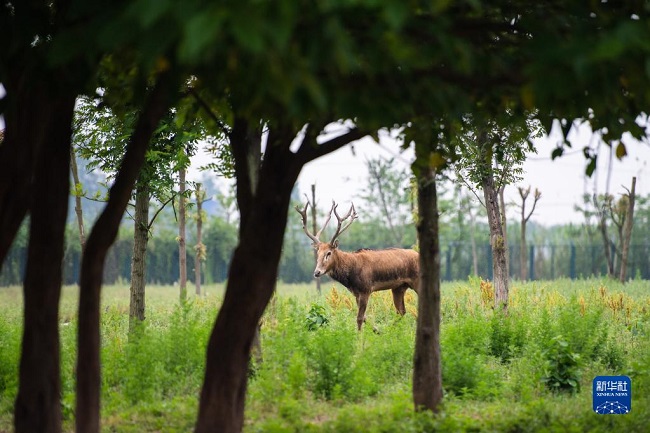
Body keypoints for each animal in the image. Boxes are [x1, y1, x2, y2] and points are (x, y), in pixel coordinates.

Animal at [294, 201, 418, 330]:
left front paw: (360, 335)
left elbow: (359, 318)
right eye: (317, 253)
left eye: (329, 253)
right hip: (399, 287)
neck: (350, 277)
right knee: (401, 311)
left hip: (416, 280)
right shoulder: (356, 293)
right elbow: (364, 317)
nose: (317, 272)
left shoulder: (366, 289)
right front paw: (377, 330)